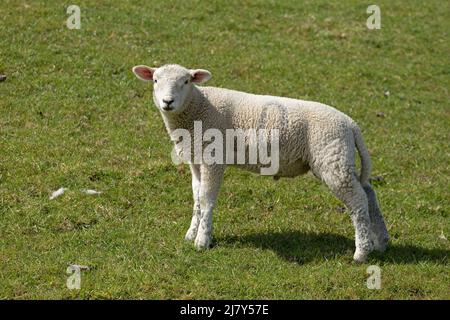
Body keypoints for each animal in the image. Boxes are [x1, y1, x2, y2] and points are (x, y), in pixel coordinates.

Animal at [132, 63, 388, 262]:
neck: (197, 108)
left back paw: (361, 253)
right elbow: (196, 198)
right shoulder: (196, 159)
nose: (167, 102)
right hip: (339, 158)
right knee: (369, 193)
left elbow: (206, 199)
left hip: (332, 157)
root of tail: (351, 124)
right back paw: (381, 242)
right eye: (155, 80)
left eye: (186, 81)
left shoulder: (213, 158)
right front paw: (191, 234)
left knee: (358, 201)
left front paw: (202, 241)